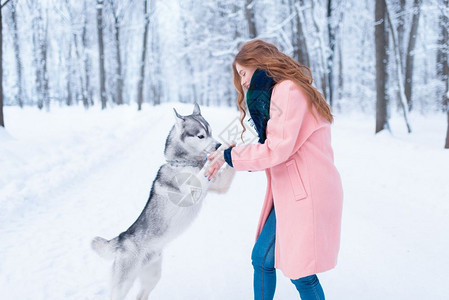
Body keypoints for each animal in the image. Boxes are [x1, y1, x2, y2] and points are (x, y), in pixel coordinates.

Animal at [93, 103, 236, 300]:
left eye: (211, 131)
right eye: (201, 135)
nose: (218, 145)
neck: (184, 163)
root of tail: (122, 237)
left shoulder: (220, 186)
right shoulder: (191, 193)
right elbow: (202, 174)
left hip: (153, 275)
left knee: (141, 295)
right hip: (124, 283)